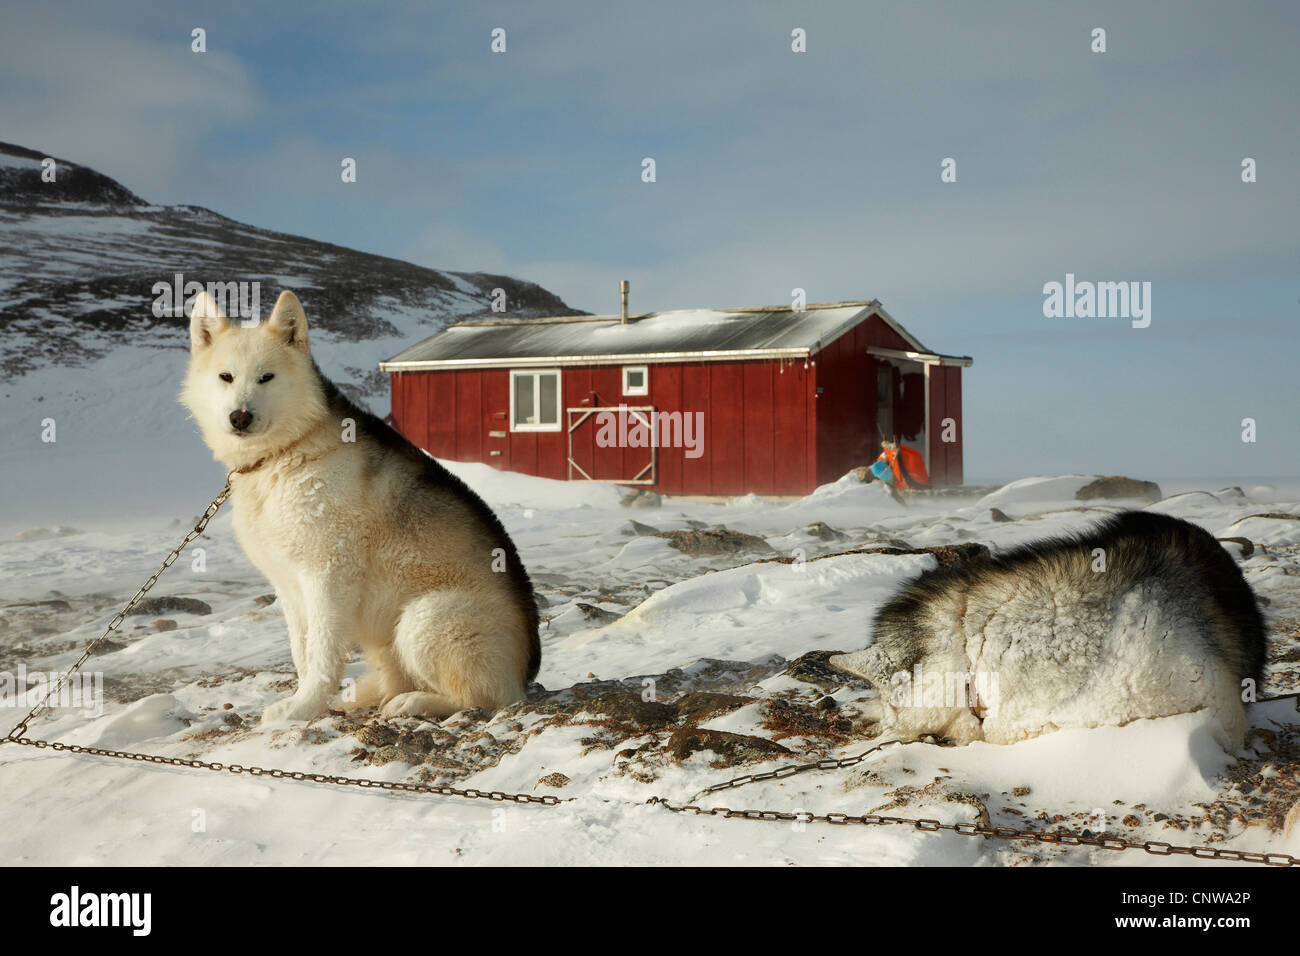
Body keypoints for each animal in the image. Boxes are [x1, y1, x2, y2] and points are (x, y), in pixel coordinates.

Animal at [182, 287, 538, 723]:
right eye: (225, 377)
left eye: (267, 377)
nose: (240, 417)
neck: (288, 450)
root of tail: (525, 672)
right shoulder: (289, 587)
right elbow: (301, 653)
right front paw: (304, 699)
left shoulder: (327, 577)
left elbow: (322, 655)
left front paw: (303, 707)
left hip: (426, 618)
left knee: (485, 697)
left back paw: (415, 702)